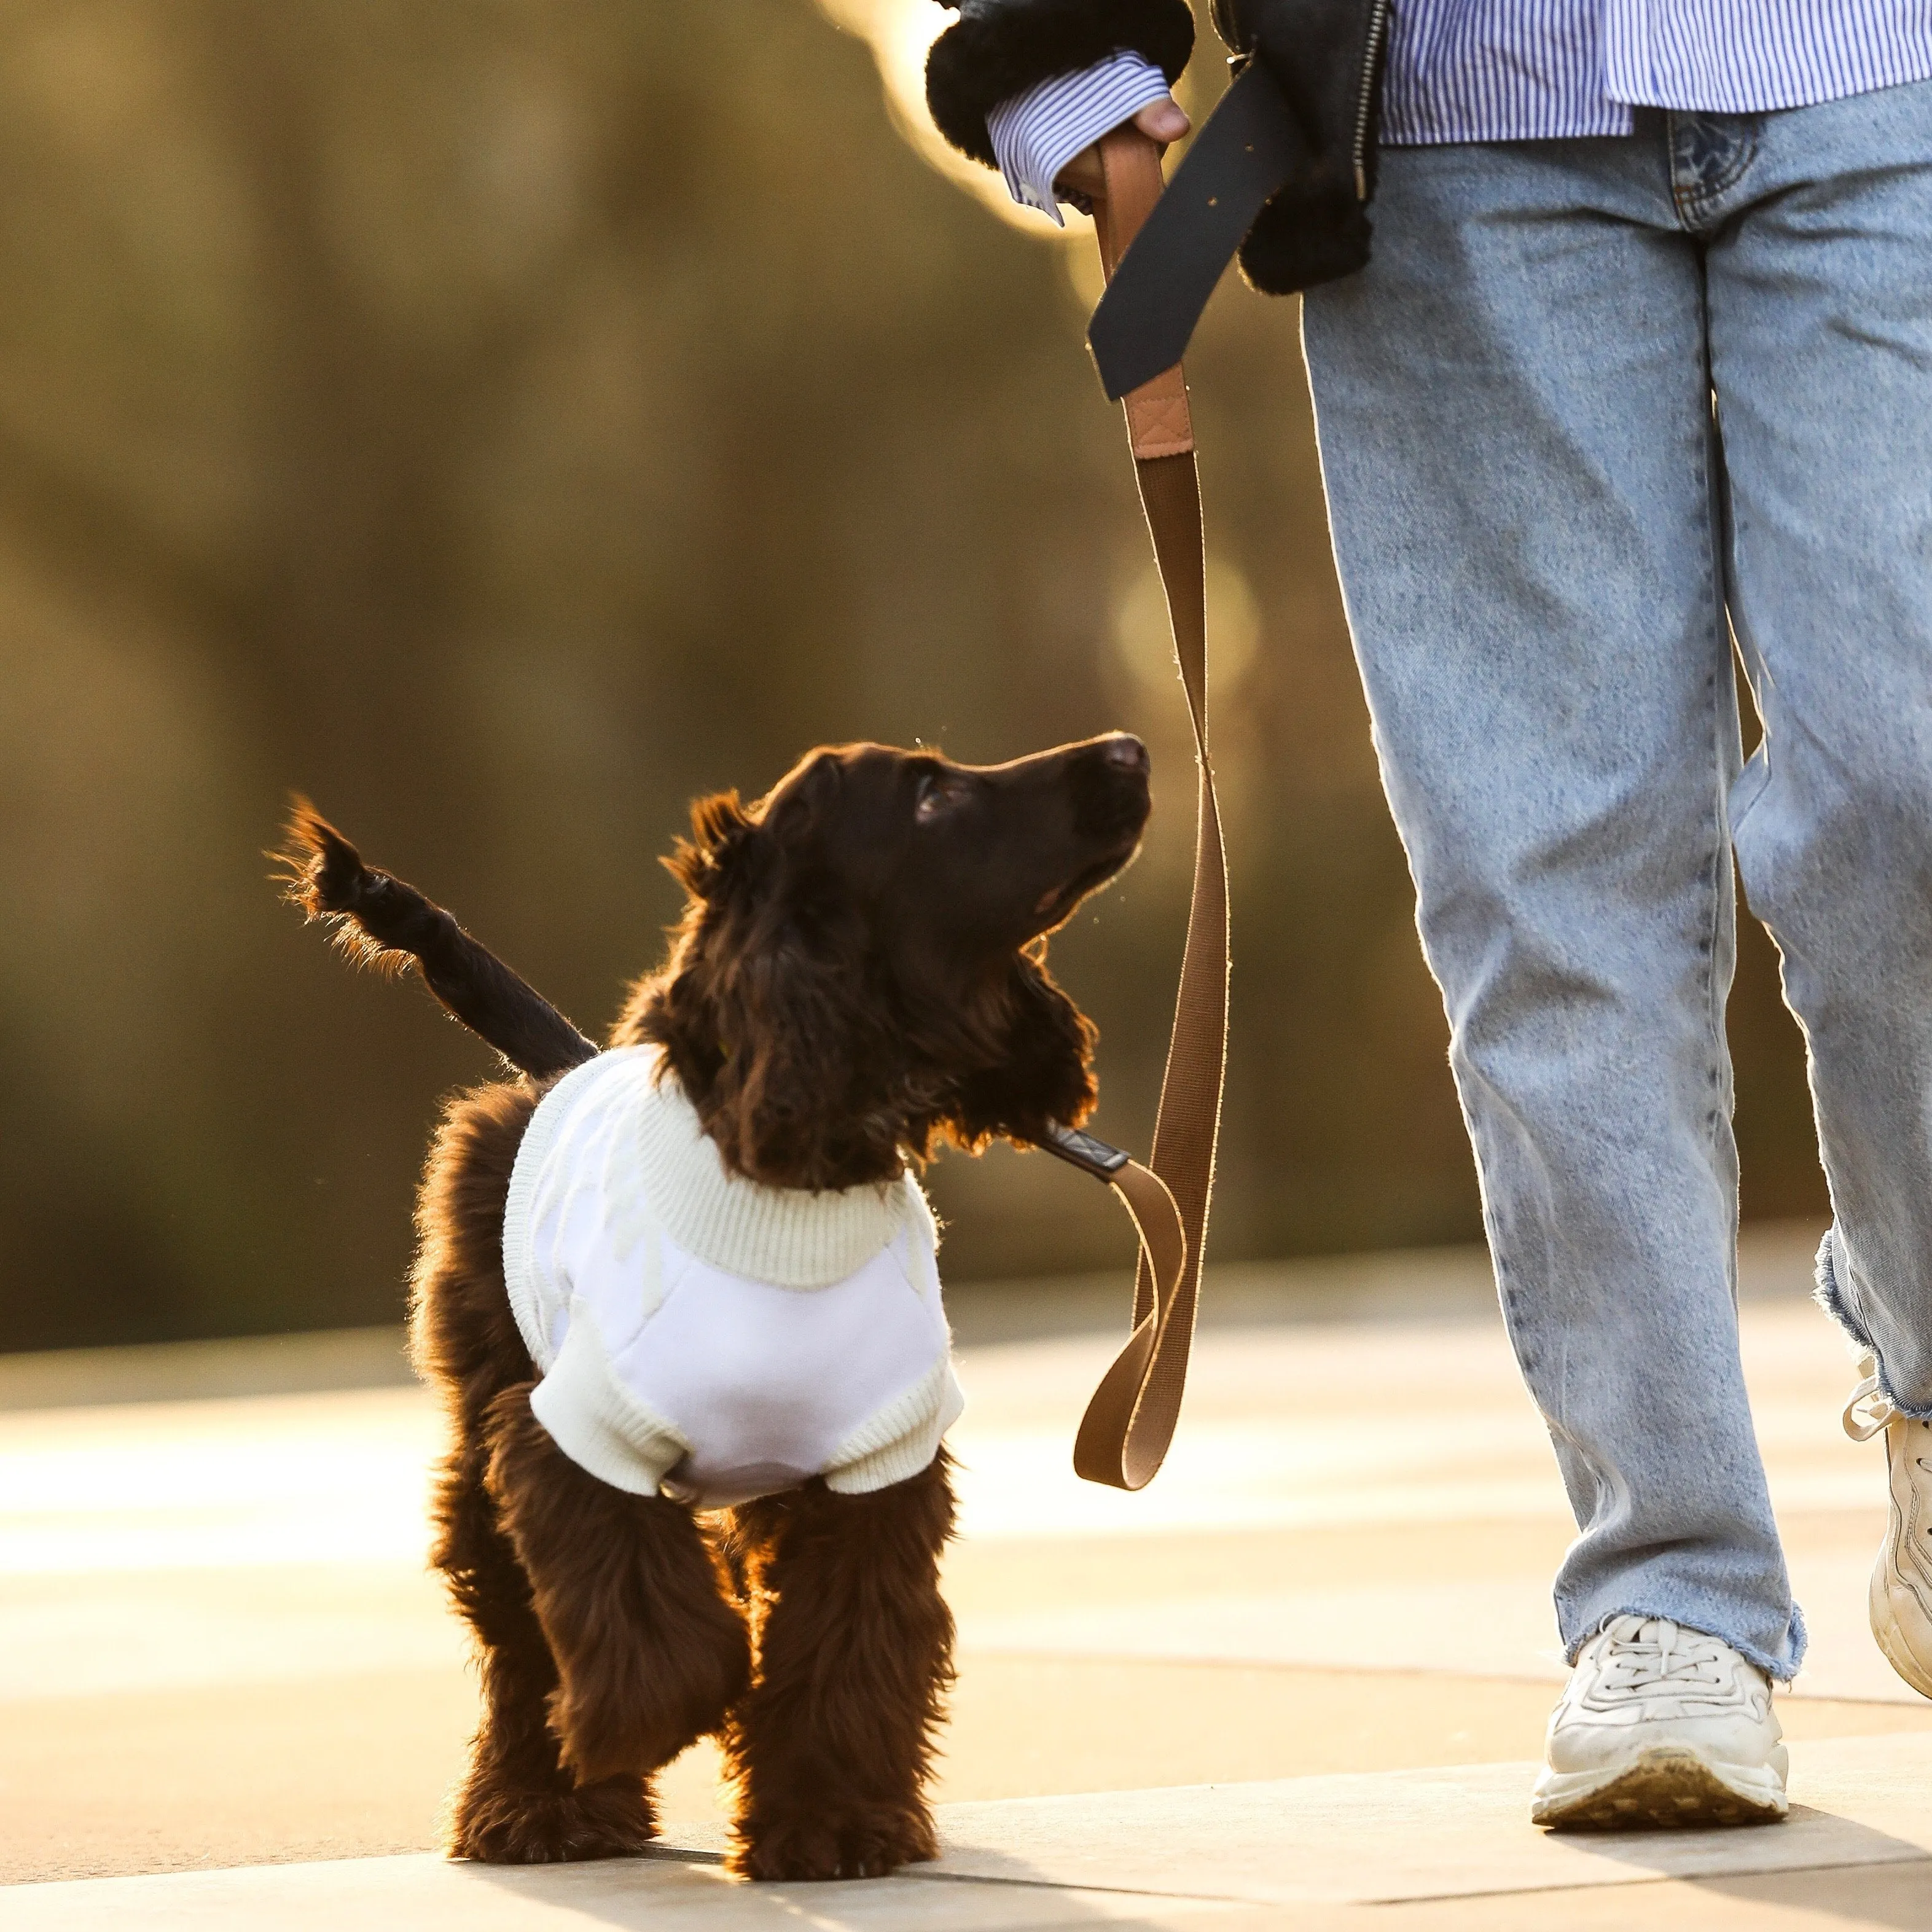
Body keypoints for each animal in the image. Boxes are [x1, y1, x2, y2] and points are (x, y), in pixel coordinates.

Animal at [274, 738, 1143, 1885]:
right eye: (930, 794)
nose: (1130, 753)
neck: (794, 1186)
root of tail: (567, 1067)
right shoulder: (570, 1443)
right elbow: (660, 1631)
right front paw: (654, 1728)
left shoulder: (877, 1472)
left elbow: (840, 1650)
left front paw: (833, 1824)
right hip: (482, 1431)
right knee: (516, 1636)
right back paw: (537, 1811)